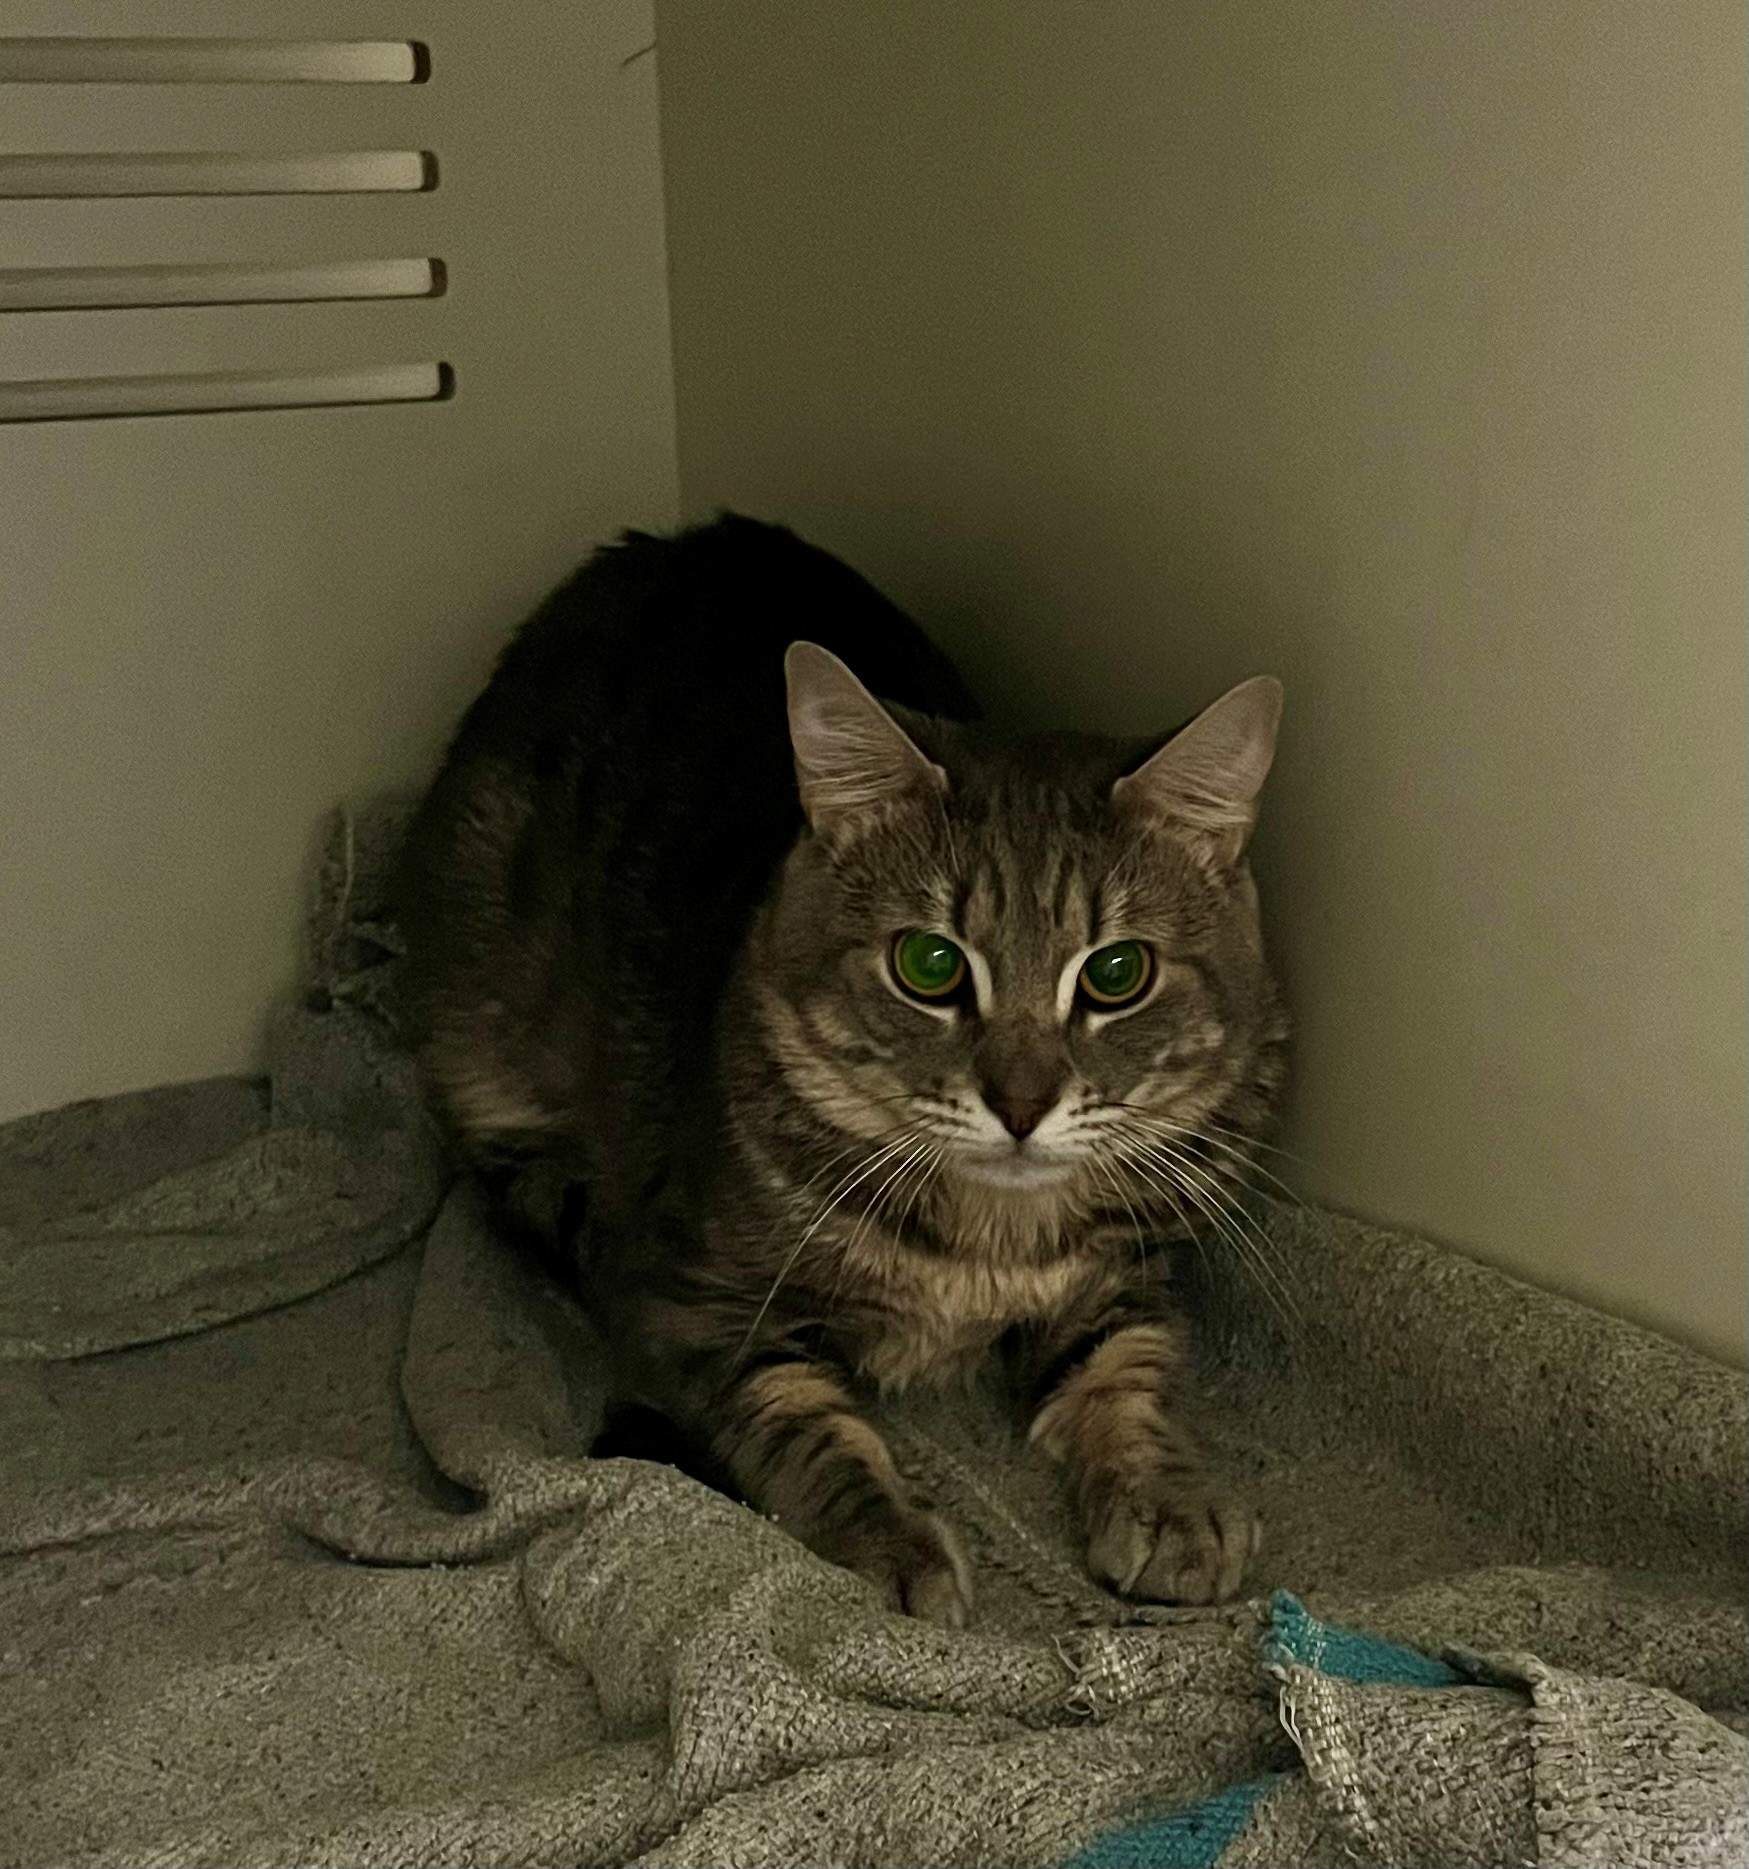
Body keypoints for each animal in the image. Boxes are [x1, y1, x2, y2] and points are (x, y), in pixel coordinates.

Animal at [397, 513, 1287, 1625]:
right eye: (930, 964)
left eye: (1117, 972)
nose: (1022, 1103)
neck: (986, 1245)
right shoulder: (696, 1304)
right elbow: (802, 1422)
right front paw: (887, 1540)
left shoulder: (1126, 1268)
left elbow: (1126, 1368)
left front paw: (1166, 1499)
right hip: (482, 1040)